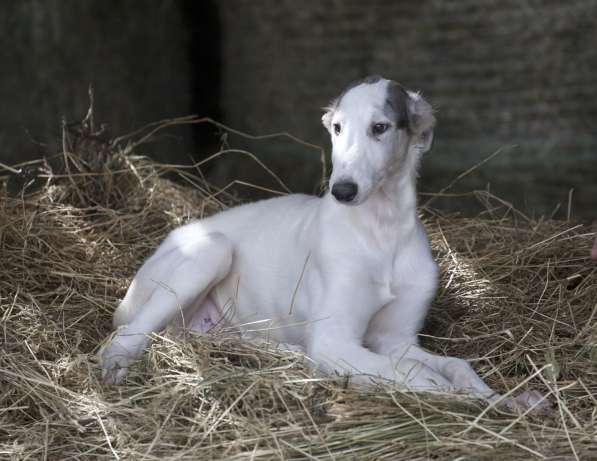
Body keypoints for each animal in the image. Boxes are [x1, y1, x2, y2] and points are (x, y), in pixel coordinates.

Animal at [101, 75, 544, 410]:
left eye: (380, 127)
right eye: (337, 128)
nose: (342, 190)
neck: (380, 233)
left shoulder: (395, 340)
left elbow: (456, 365)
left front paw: (505, 399)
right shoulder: (334, 342)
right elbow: (423, 376)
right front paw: (471, 403)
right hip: (210, 250)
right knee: (123, 336)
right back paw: (115, 365)